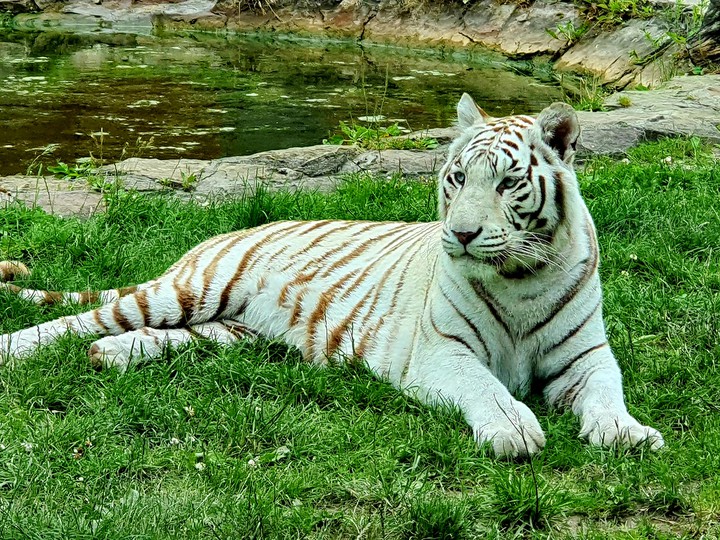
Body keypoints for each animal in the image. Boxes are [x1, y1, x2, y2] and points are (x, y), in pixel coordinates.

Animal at [0, 94, 664, 458]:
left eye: (506, 183)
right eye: (457, 178)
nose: (462, 234)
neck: (519, 277)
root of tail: (228, 232)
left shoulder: (586, 356)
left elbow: (607, 394)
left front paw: (627, 433)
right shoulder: (442, 353)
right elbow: (488, 389)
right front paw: (513, 430)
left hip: (228, 331)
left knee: (147, 338)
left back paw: (108, 356)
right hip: (188, 290)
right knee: (77, 319)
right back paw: (19, 348)